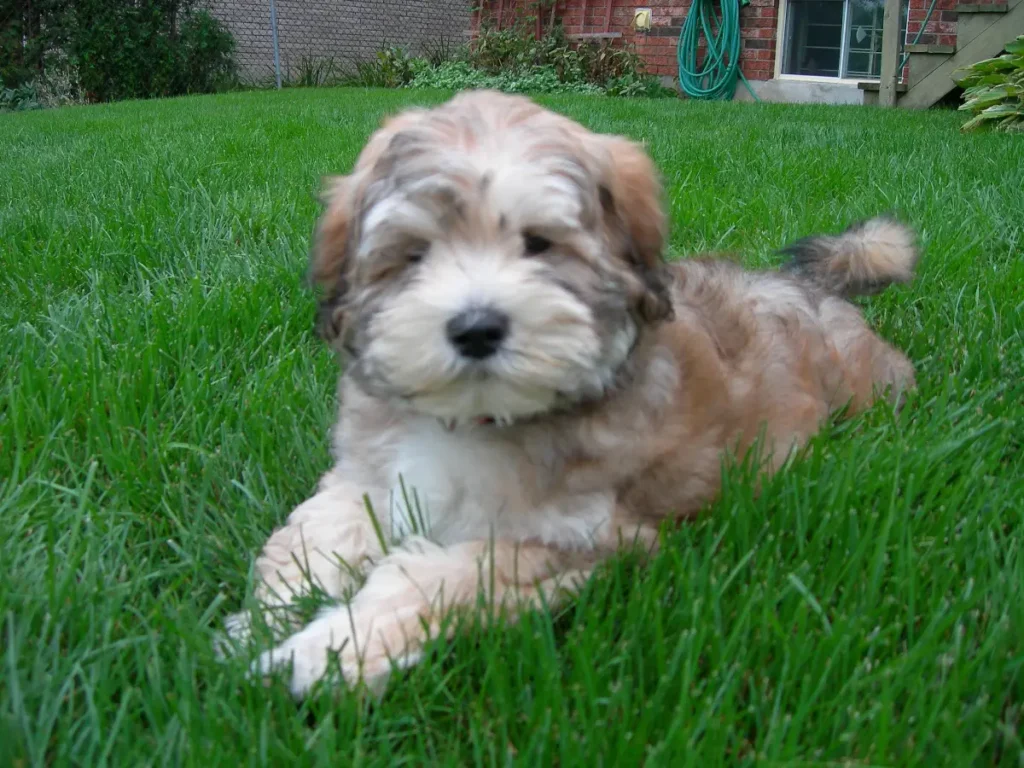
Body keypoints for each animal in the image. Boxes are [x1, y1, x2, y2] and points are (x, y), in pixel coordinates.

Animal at [230, 88, 921, 696]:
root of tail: (814, 291)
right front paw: (261, 619)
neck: (482, 418)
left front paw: (323, 652)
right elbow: (319, 533)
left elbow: (441, 578)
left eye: (539, 244)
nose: (476, 328)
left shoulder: (583, 540)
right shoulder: (368, 476)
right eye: (414, 255)